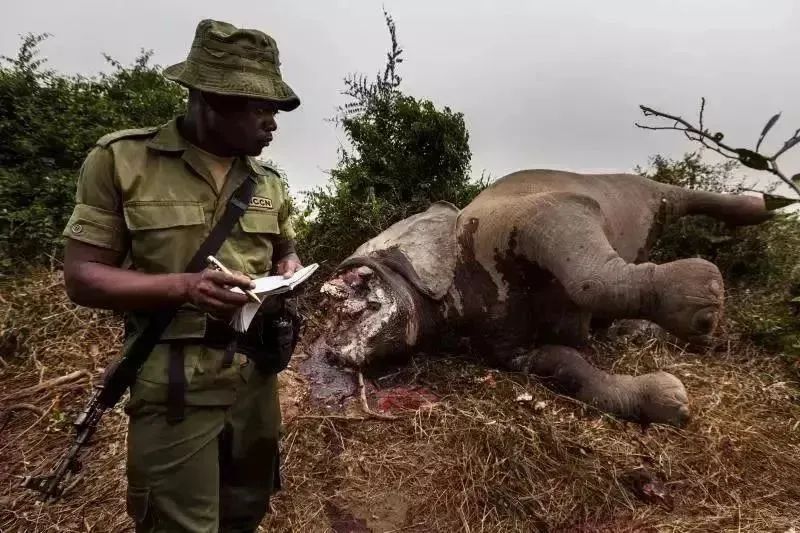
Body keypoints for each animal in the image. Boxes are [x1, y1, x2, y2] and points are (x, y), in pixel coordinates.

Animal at [306, 168, 768, 426]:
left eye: (349, 286)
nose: (329, 351)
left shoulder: (524, 216)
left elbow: (589, 279)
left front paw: (704, 297)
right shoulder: (502, 344)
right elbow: (559, 363)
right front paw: (669, 401)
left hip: (635, 189)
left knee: (676, 195)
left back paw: (759, 207)